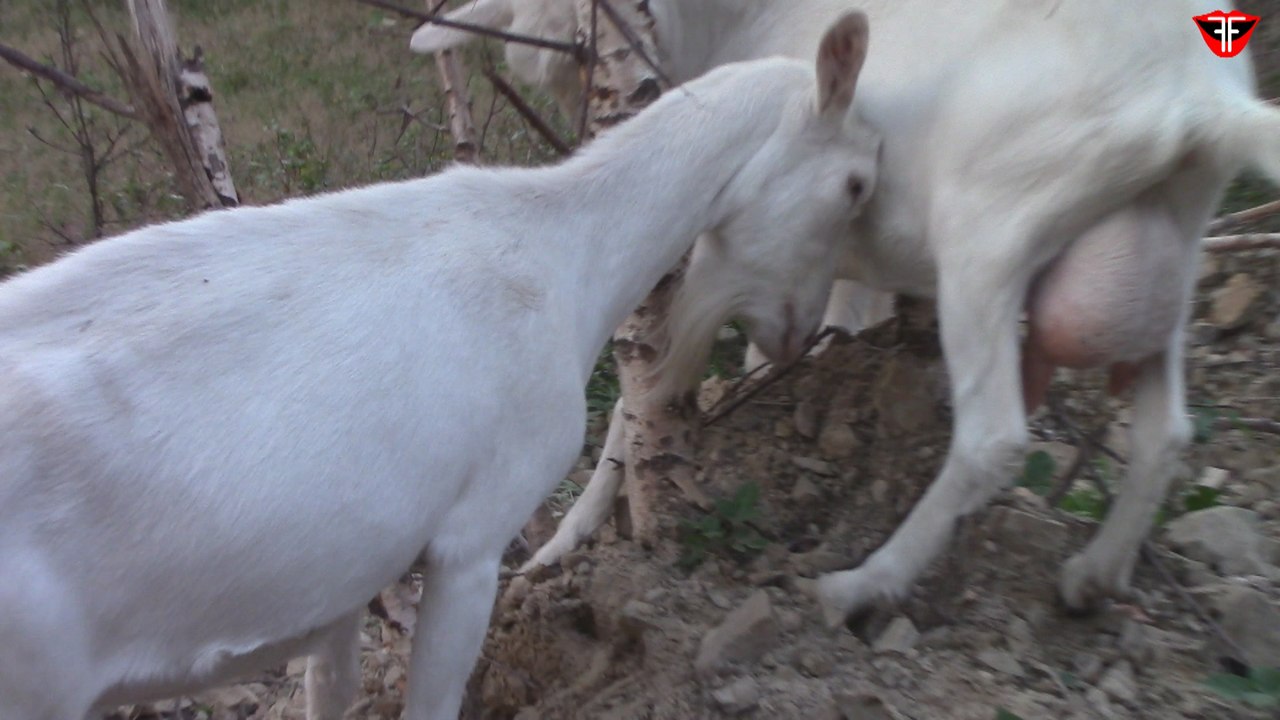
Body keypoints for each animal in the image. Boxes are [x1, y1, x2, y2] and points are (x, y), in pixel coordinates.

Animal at [0, 13, 878, 720]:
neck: (564, 253)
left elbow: (334, 691)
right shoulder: (475, 532)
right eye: (857, 184)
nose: (802, 333)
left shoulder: (347, 571)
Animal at [520, 0, 1280, 626]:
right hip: (1167, 247)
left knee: (993, 439)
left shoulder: (745, 230)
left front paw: (565, 537)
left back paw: (858, 585)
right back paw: (1093, 576)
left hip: (989, 238)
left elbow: (647, 378)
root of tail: (1200, 100)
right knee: (1165, 432)